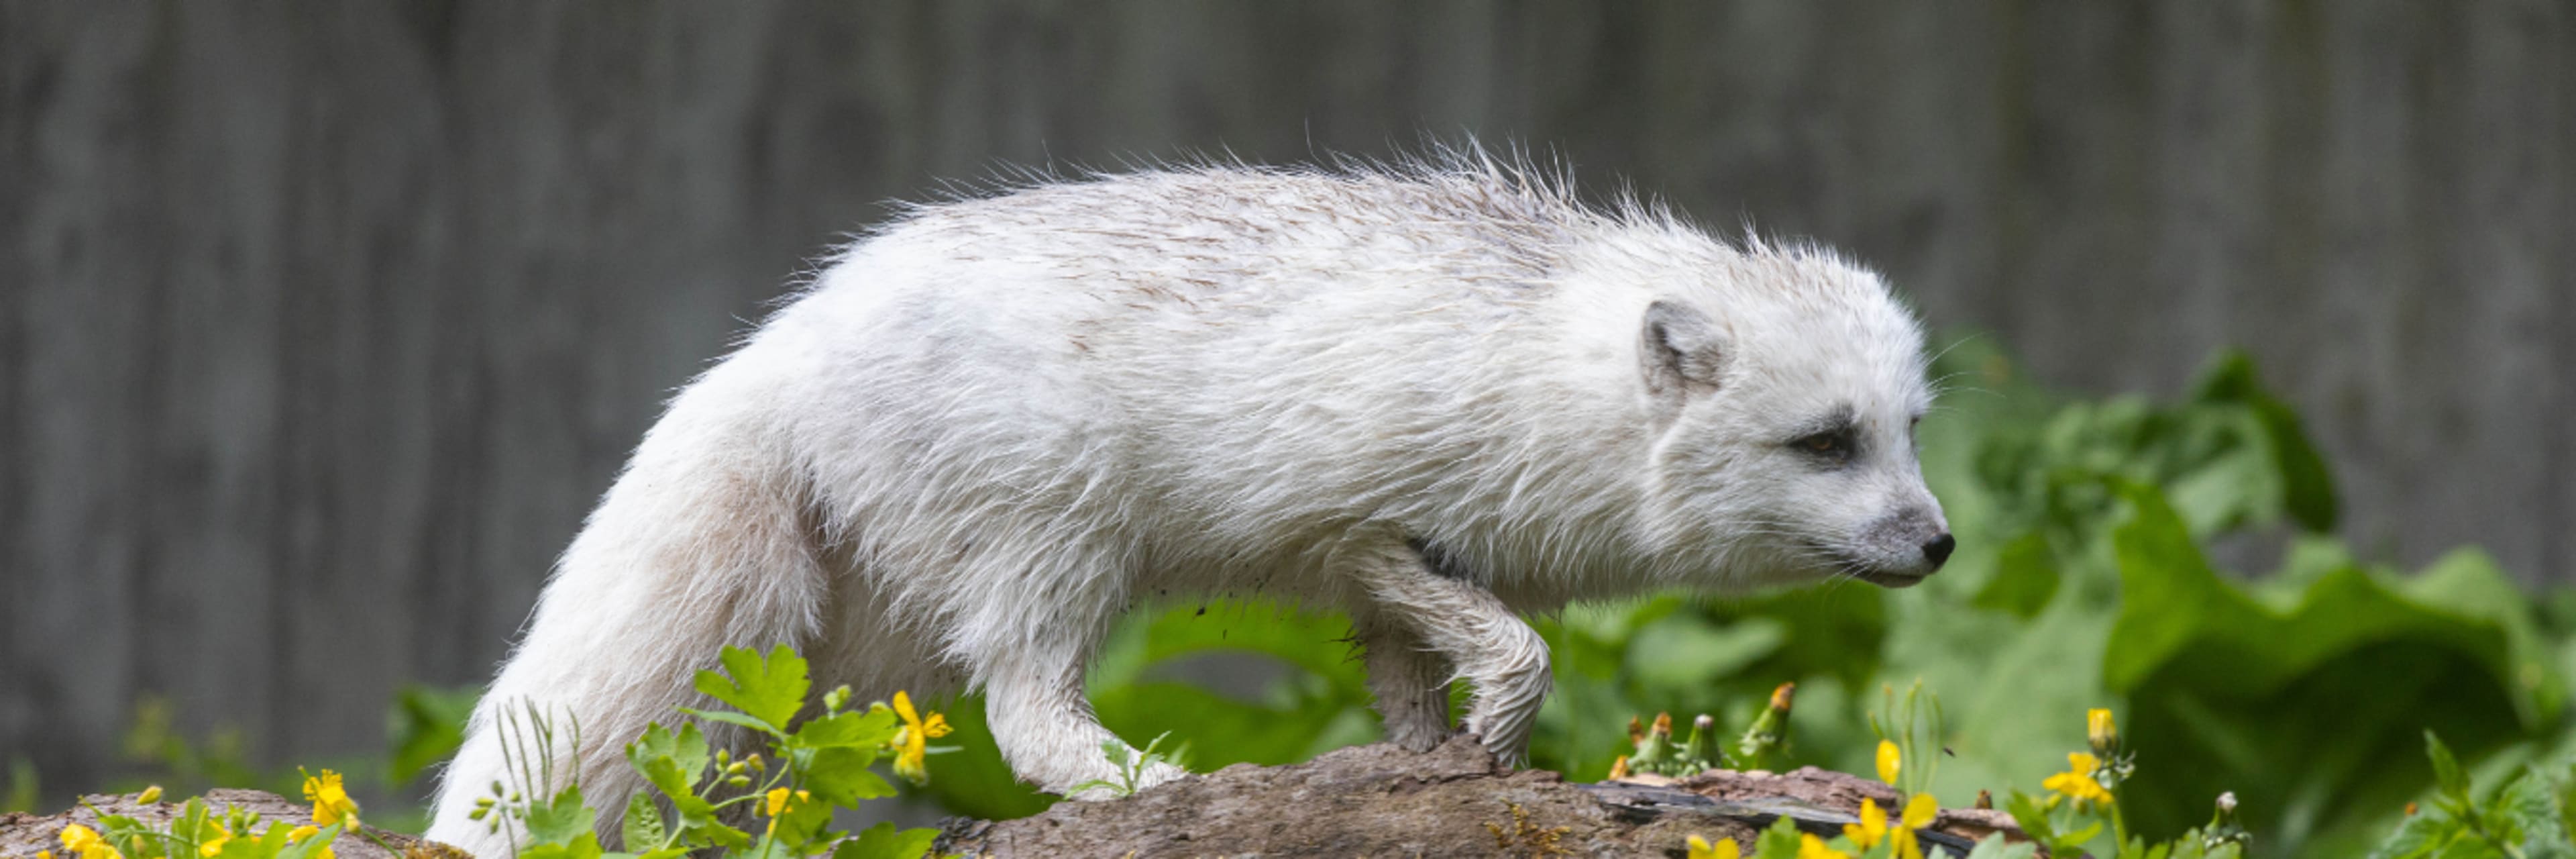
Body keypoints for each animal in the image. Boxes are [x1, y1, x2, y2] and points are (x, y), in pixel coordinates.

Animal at [427, 155, 1947, 851]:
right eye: (1825, 444)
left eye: (1908, 434)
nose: (1937, 543)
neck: (1551, 371)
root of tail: (783, 339)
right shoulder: (1355, 527)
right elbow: (1513, 648)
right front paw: (1486, 743)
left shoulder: (1400, 575)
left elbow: (1424, 688)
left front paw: (1452, 772)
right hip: (1055, 550)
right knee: (1027, 725)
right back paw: (1161, 788)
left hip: (867, 643)